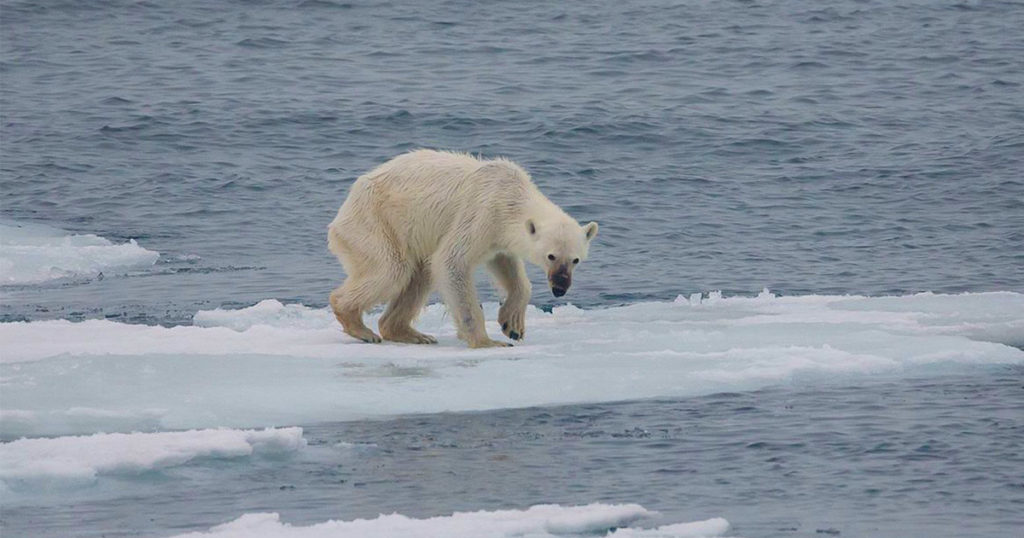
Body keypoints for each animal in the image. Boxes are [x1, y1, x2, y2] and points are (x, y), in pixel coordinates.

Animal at [327, 148, 598, 348]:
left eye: (575, 260)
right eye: (551, 256)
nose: (560, 288)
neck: (511, 195)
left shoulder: (497, 235)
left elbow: (506, 265)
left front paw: (512, 325)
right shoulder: (481, 212)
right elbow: (452, 262)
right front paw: (487, 341)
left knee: (419, 275)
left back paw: (411, 334)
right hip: (375, 222)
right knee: (392, 269)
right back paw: (360, 326)